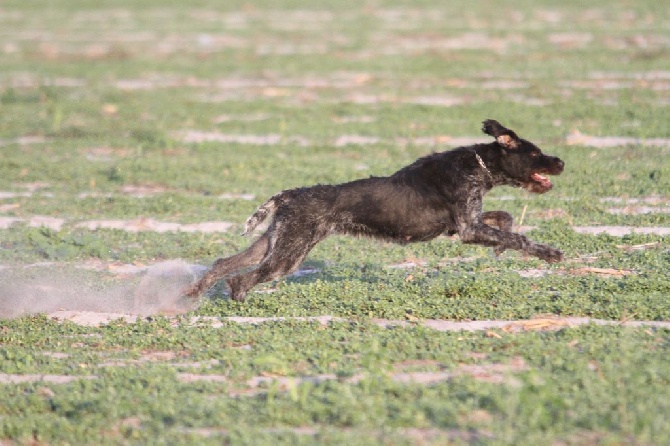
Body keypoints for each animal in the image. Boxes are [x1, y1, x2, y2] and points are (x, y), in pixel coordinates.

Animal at [185, 120, 568, 302]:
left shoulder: (465, 224)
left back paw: (193, 293)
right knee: (240, 279)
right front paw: (549, 253)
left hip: (274, 242)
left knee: (224, 264)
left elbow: (504, 220)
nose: (562, 162)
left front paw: (503, 243)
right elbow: (520, 239)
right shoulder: (468, 229)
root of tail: (290, 195)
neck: (477, 165)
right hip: (288, 256)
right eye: (536, 153)